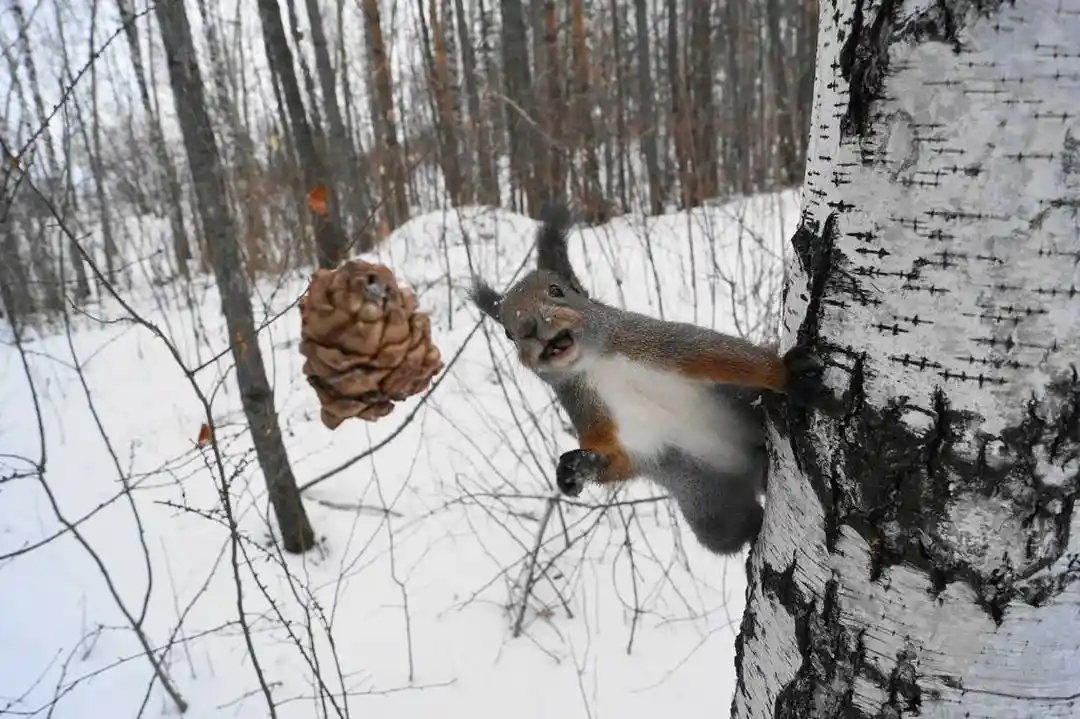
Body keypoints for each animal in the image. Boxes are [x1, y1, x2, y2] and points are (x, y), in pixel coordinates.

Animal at [469, 202, 822, 556]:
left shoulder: (657, 343)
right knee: (732, 530)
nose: (528, 327)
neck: (594, 364)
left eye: (557, 291)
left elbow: (725, 355)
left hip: (740, 404)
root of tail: (752, 469)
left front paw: (787, 376)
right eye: (507, 332)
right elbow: (622, 456)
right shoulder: (593, 413)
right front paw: (577, 467)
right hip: (709, 502)